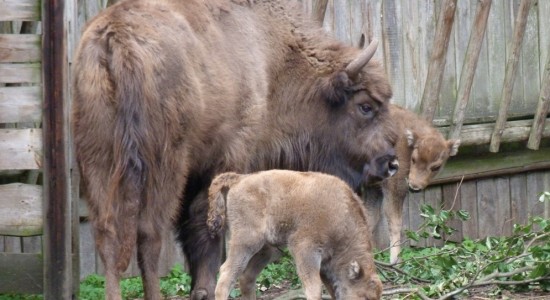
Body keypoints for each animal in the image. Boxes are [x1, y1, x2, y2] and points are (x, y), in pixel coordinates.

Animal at [207, 170, 384, 300]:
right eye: (364, 297)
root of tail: (240, 179)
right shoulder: (306, 250)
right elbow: (314, 288)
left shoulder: (326, 264)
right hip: (246, 241)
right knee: (226, 273)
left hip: (267, 250)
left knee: (246, 277)